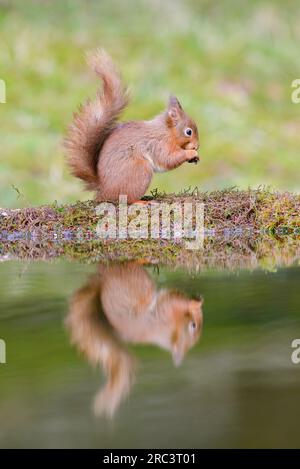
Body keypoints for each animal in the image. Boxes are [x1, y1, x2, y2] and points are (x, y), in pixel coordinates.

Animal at [63, 48, 199, 204]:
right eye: (188, 132)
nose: (197, 146)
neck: (167, 131)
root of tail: (104, 190)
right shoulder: (160, 144)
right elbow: (169, 159)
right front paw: (191, 153)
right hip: (139, 170)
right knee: (127, 198)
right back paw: (141, 202)